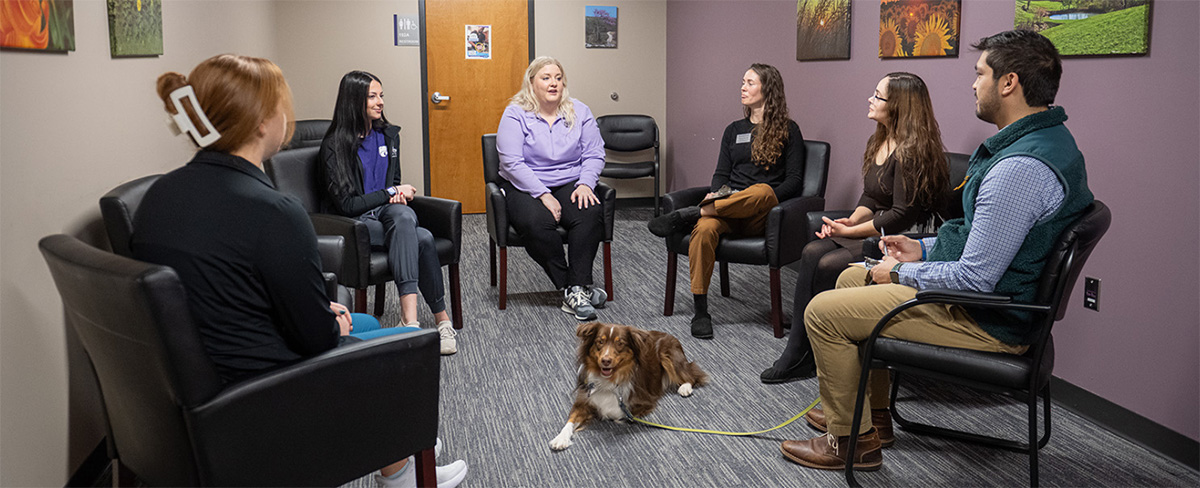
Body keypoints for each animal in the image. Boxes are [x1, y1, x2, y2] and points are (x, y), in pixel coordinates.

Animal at [549, 323, 705, 453]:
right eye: (600, 342)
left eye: (620, 343)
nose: (605, 361)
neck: (608, 380)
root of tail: (668, 334)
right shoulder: (583, 400)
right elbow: (570, 420)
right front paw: (560, 439)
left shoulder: (644, 402)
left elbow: (617, 413)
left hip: (669, 356)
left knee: (692, 375)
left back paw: (685, 388)